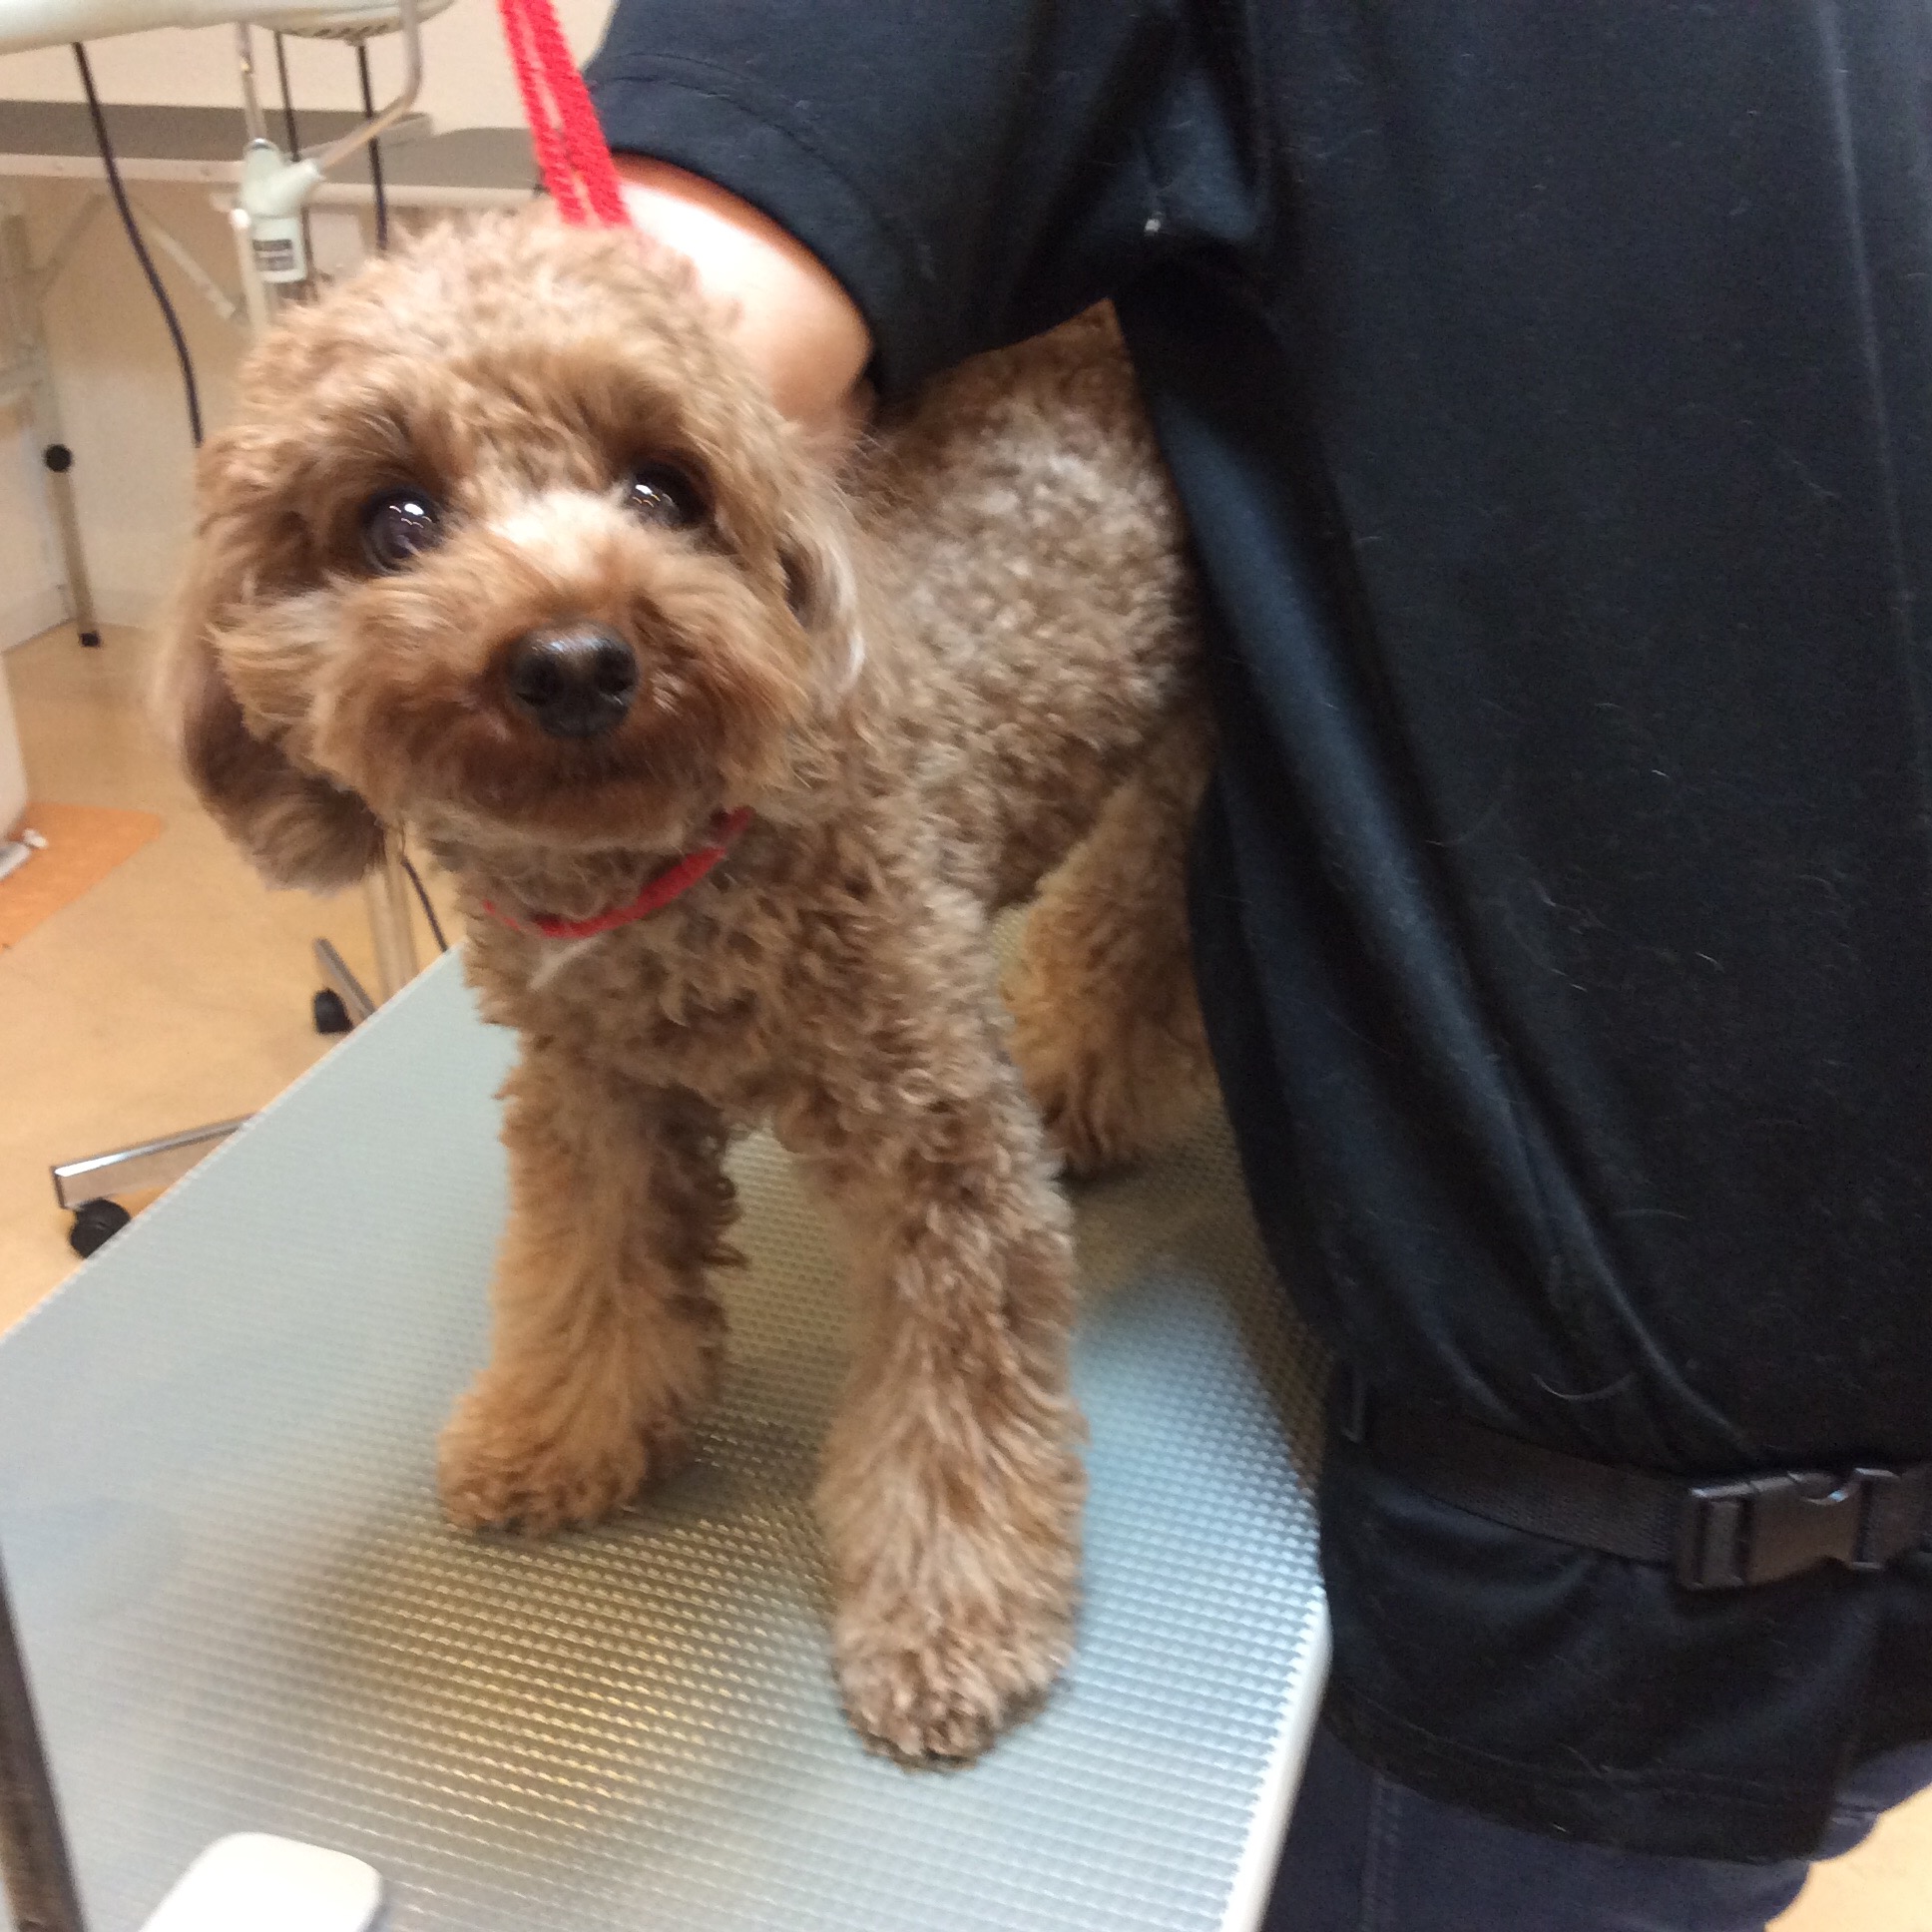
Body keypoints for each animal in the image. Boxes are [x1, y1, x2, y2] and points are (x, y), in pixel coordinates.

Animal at [162, 207, 1214, 1761]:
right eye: (396, 521)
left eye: (664, 488)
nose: (575, 658)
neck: (662, 875)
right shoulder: (594, 1091)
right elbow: (587, 1274)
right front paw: (557, 1435)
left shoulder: (936, 1146)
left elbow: (955, 1397)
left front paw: (949, 1618)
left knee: (1139, 905)